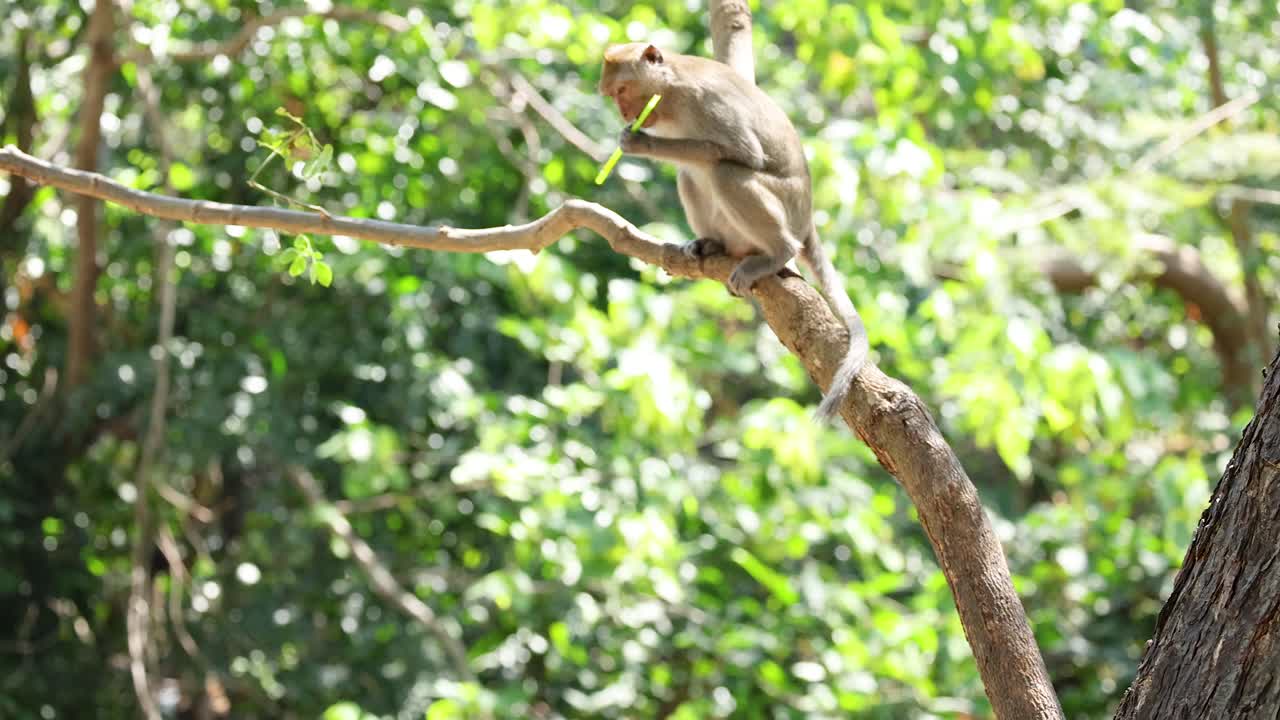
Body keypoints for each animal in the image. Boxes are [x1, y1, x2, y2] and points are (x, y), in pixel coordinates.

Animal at [598, 43, 870, 421]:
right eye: (612, 95)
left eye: (623, 90)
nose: (624, 114)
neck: (671, 92)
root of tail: (806, 217)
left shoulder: (705, 100)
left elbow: (743, 152)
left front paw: (641, 144)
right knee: (689, 174)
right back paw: (711, 245)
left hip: (786, 207)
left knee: (724, 170)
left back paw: (777, 253)